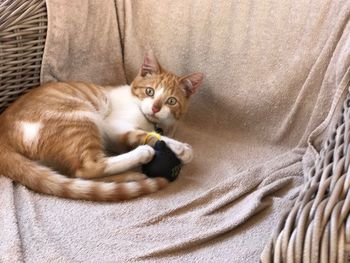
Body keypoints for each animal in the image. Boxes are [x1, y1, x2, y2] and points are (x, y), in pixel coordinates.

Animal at [0, 50, 202, 201]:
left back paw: (130, 177)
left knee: (77, 174)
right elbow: (148, 135)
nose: (155, 108)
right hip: (80, 117)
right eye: (149, 91)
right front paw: (181, 148)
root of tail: (3, 132)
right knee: (87, 168)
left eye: (171, 101)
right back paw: (141, 156)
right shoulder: (112, 125)